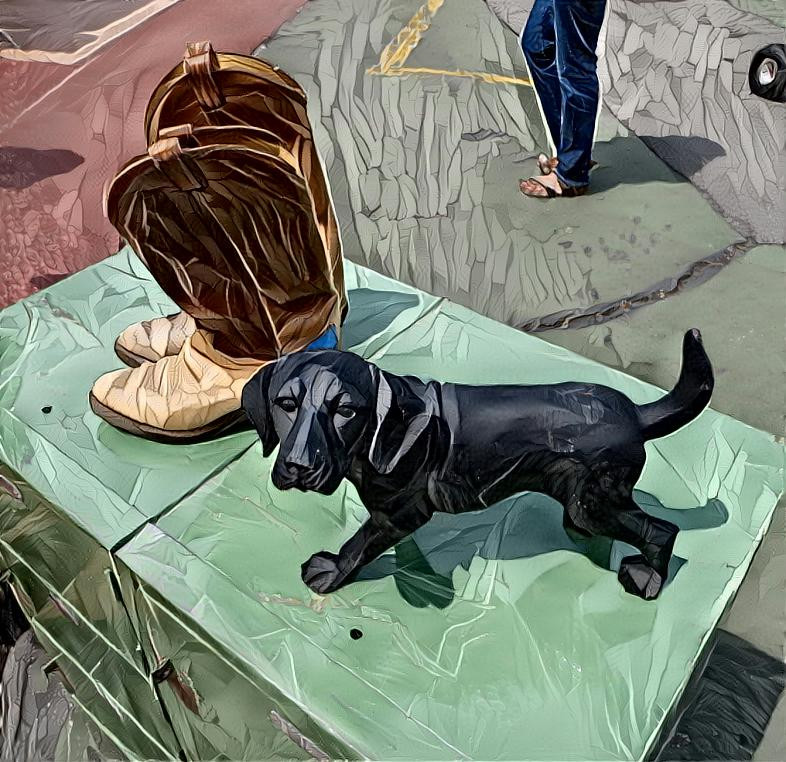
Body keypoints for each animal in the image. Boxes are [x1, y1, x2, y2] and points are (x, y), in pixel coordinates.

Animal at [242, 326, 712, 600]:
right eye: (286, 404)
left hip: (597, 503)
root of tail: (636, 414)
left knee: (661, 530)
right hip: (585, 499)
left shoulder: (399, 513)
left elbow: (358, 544)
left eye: (345, 411)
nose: (298, 466)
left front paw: (332, 571)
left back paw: (648, 580)